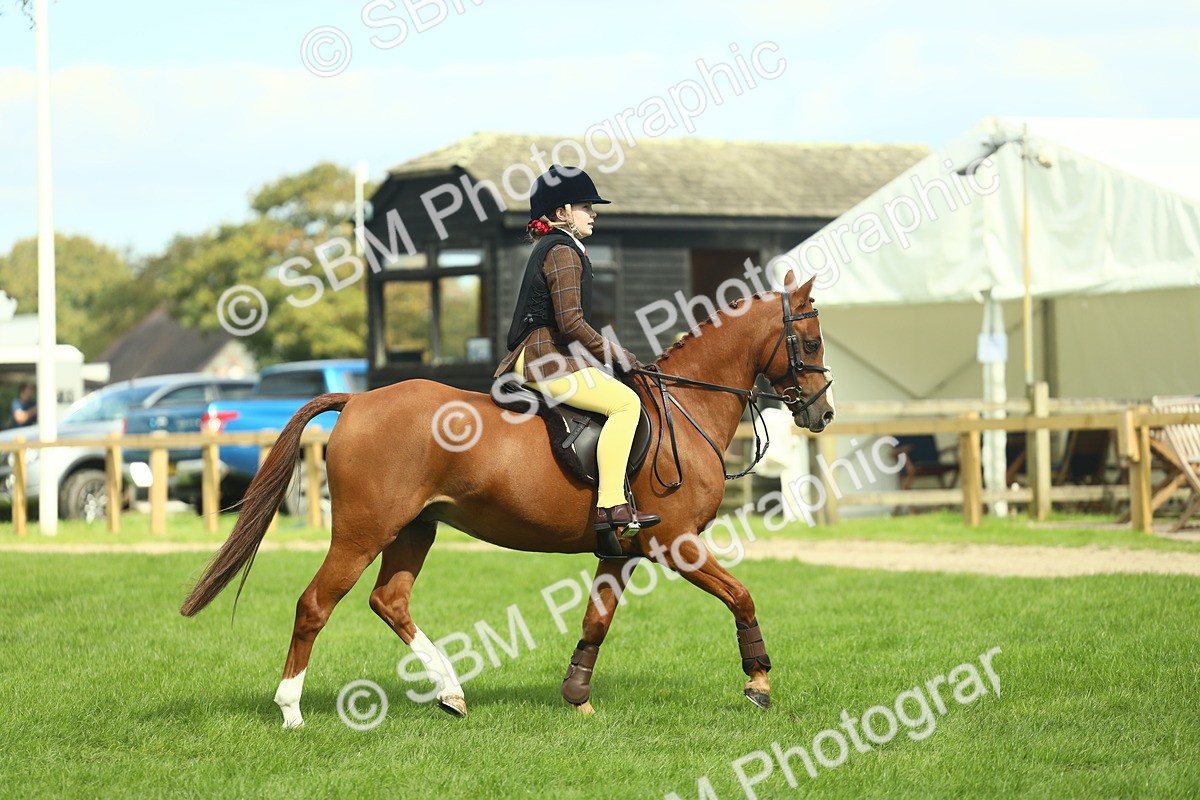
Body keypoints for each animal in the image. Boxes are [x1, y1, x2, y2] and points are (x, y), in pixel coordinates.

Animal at [179, 271, 835, 727]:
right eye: (808, 340)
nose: (822, 413)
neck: (686, 404)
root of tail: (359, 400)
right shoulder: (676, 542)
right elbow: (741, 596)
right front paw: (758, 684)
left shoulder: (621, 550)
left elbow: (596, 621)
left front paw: (577, 698)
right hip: (364, 531)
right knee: (315, 604)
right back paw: (291, 709)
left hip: (415, 529)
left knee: (389, 601)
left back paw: (450, 692)